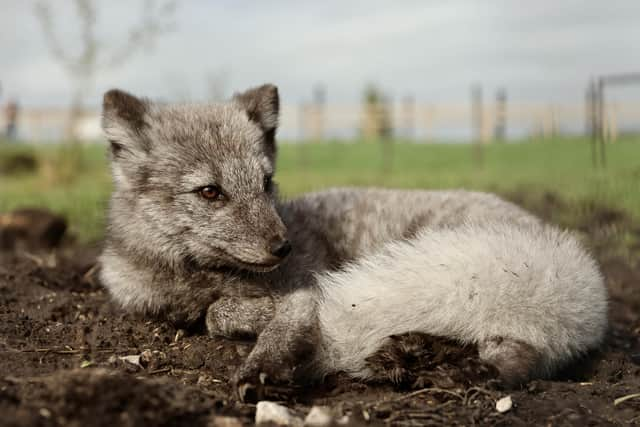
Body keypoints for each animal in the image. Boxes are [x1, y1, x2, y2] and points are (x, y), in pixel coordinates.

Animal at [99, 84, 604, 402]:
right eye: (209, 192)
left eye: (266, 183)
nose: (282, 247)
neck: (195, 276)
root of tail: (557, 242)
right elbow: (209, 313)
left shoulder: (301, 288)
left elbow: (230, 314)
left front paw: (264, 357)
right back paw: (416, 355)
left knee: (525, 354)